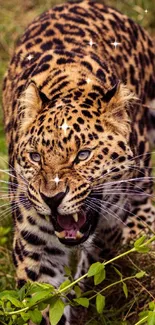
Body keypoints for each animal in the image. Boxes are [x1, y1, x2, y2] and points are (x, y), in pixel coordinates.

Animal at [2, 0, 155, 322]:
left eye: (82, 155)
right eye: (35, 157)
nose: (52, 199)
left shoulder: (111, 221)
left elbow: (100, 257)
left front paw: (86, 290)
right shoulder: (35, 243)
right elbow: (43, 303)